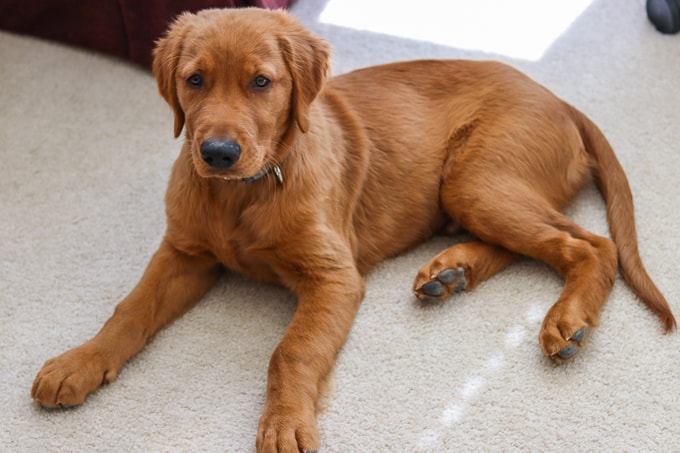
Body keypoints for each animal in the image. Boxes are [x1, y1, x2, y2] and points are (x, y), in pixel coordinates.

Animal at [33, 7, 676, 452]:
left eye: (261, 83)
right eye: (194, 81)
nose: (215, 153)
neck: (243, 193)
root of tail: (561, 100)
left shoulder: (333, 276)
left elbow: (290, 351)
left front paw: (284, 424)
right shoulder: (184, 253)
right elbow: (129, 310)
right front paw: (78, 362)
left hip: (476, 178)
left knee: (591, 245)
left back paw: (565, 320)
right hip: (471, 191)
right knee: (532, 244)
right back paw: (451, 272)